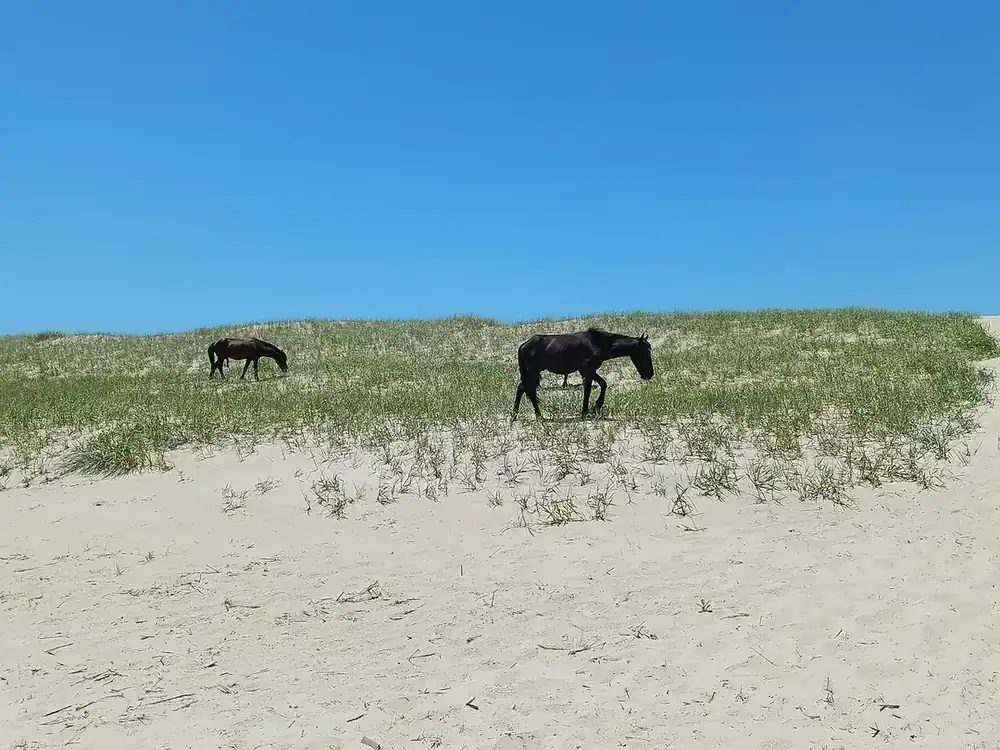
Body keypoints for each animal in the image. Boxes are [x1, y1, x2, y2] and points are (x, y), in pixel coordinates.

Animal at [511, 328, 654, 421]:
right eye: (645, 351)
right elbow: (588, 390)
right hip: (532, 372)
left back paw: (515, 415)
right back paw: (538, 416)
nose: (649, 374)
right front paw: (587, 411)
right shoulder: (586, 370)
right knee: (526, 389)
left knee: (522, 388)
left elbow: (603, 384)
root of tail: (523, 345)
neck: (597, 343)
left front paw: (596, 407)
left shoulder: (590, 371)